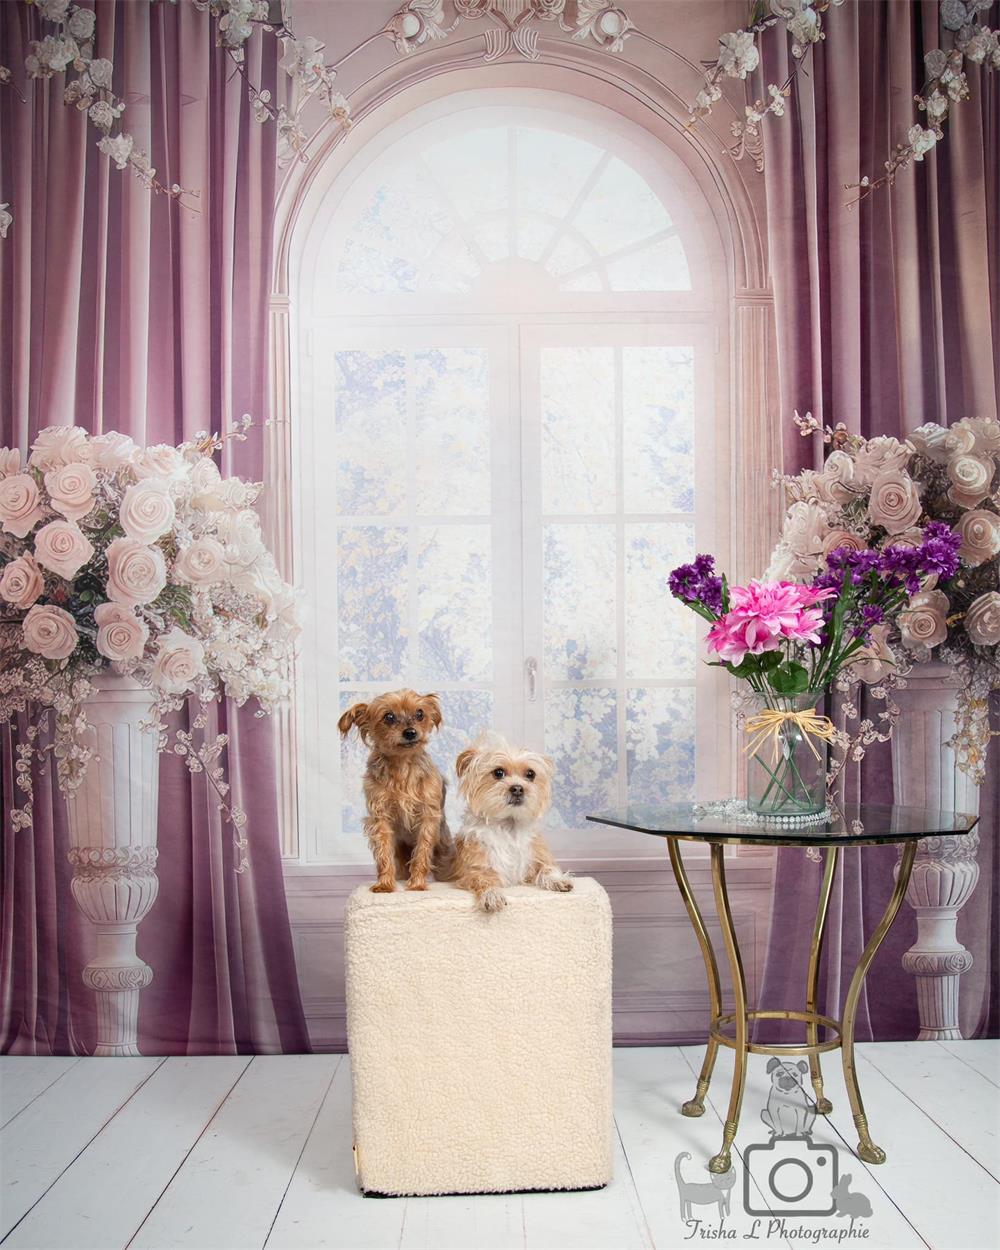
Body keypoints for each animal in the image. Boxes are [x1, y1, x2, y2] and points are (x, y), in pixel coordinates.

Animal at [340, 695, 450, 890]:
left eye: (420, 713)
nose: (410, 732)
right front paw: (384, 884)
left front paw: (417, 884)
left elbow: (422, 850)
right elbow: (383, 851)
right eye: (388, 717)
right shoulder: (380, 817)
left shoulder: (427, 816)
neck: (402, 764)